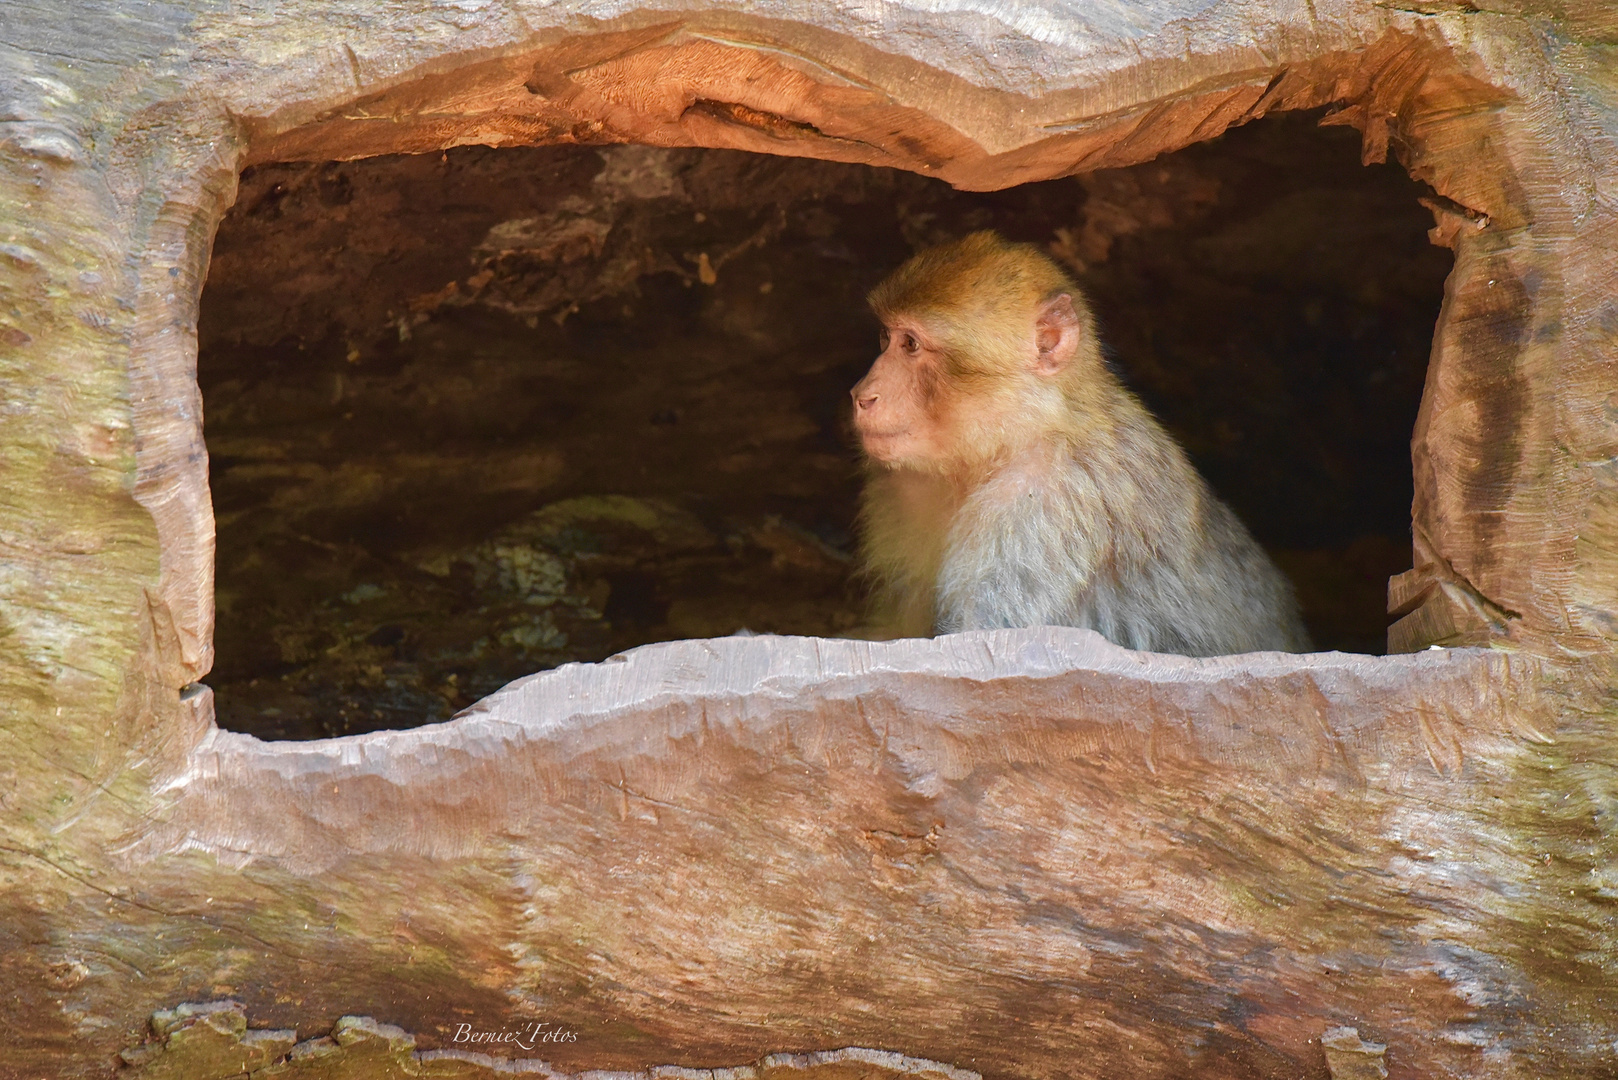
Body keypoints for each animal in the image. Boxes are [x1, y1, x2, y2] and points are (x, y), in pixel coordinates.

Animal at [854, 229, 1307, 660]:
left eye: (911, 344)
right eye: (885, 337)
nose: (862, 394)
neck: (1013, 440)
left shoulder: (1039, 509)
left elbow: (987, 633)